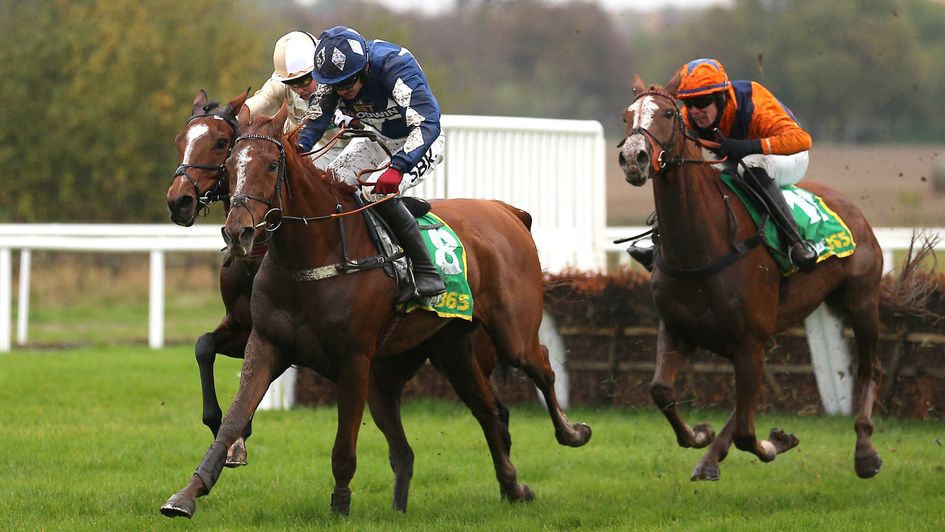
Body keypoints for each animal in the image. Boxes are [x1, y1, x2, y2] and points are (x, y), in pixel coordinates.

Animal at [162, 103, 592, 516]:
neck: (312, 254)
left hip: (512, 332)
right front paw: (189, 491)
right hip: (445, 352)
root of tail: (506, 211)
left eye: (269, 164)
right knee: (485, 413)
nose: (238, 232)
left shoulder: (353, 360)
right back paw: (505, 488)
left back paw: (572, 433)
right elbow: (228, 409)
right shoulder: (265, 342)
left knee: (542, 366)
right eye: (231, 162)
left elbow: (343, 449)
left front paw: (340, 507)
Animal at [616, 76, 880, 482]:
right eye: (628, 116)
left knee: (869, 367)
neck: (701, 245)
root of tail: (848, 205)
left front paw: (774, 443)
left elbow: (745, 432)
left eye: (668, 114)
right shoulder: (680, 330)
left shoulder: (748, 340)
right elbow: (661, 390)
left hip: (862, 301)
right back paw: (709, 459)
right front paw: (700, 434)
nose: (634, 158)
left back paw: (866, 452)